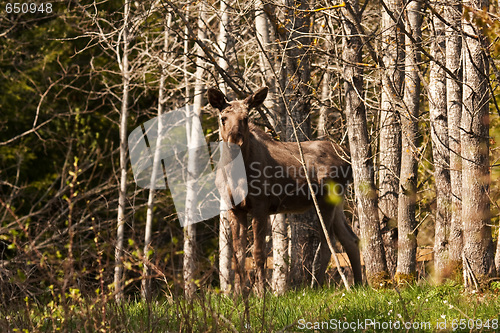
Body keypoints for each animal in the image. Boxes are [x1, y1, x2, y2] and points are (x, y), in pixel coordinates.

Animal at [208, 86, 364, 294]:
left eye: (246, 118)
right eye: (223, 118)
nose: (235, 141)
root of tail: (347, 158)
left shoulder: (260, 206)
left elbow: (258, 253)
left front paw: (261, 294)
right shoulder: (235, 208)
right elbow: (238, 256)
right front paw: (238, 296)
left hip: (326, 200)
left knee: (327, 243)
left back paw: (316, 287)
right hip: (337, 201)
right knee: (350, 239)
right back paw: (360, 284)